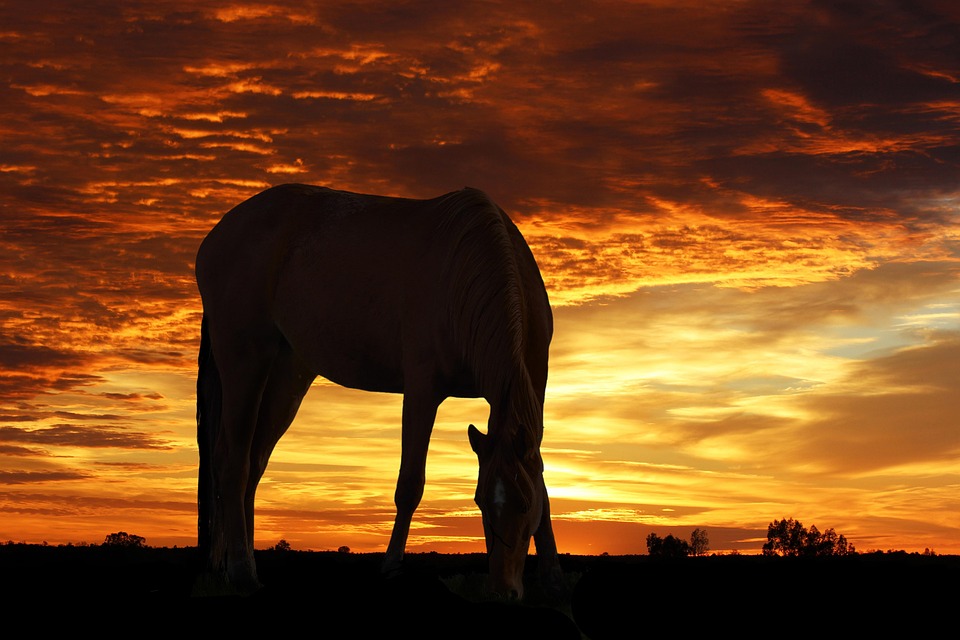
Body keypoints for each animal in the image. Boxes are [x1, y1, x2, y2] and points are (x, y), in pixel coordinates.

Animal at [195, 183, 561, 599]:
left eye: (523, 504)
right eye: (481, 503)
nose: (502, 590)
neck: (467, 272)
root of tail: (217, 237)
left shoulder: (536, 390)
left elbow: (544, 484)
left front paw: (552, 575)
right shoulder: (422, 390)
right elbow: (410, 483)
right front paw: (391, 566)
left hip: (286, 375)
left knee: (253, 463)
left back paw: (236, 566)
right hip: (245, 361)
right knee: (232, 461)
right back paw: (241, 571)